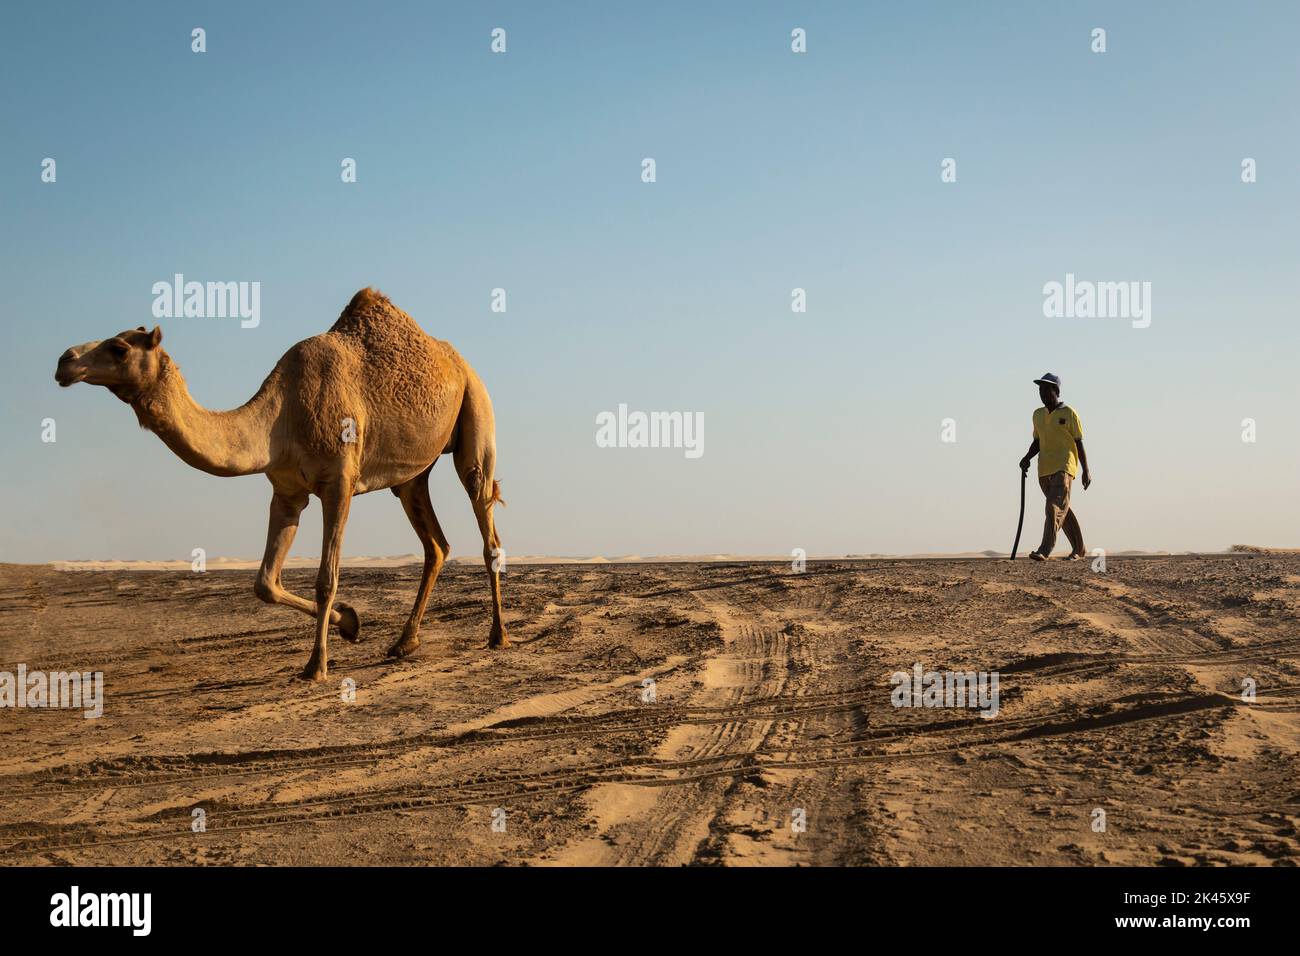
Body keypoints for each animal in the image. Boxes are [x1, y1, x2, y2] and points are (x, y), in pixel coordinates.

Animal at [58, 287, 509, 676]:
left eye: (119, 348)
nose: (64, 360)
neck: (282, 415)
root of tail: (457, 361)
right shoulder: (287, 492)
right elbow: (265, 583)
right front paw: (350, 622)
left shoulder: (339, 482)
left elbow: (326, 579)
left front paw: (317, 665)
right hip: (414, 474)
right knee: (435, 543)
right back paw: (404, 642)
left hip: (476, 407)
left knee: (484, 515)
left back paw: (497, 635)